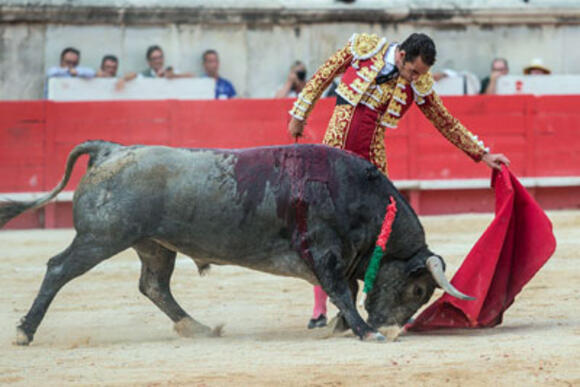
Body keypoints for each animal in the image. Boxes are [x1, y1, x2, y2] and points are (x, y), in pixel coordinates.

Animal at [0, 142, 472, 346]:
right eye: (417, 289)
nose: (394, 328)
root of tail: (110, 150)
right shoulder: (325, 252)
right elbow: (344, 291)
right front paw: (365, 331)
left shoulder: (332, 259)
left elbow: (348, 291)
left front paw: (344, 326)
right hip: (101, 238)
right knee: (59, 269)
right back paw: (24, 331)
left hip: (154, 244)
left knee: (154, 285)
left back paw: (197, 327)